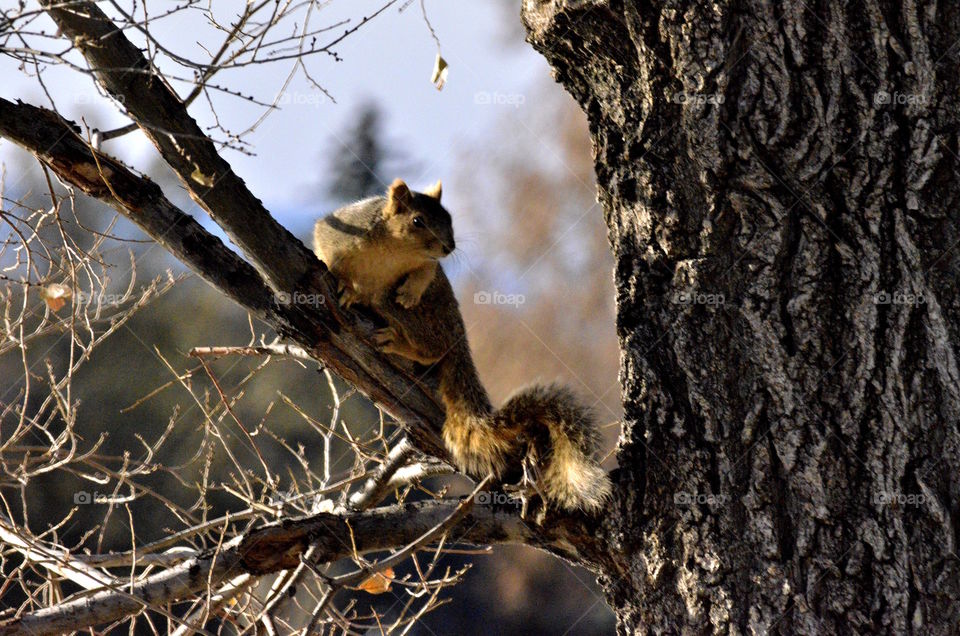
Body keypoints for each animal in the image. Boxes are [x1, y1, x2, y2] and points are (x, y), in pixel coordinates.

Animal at [312, 180, 612, 517]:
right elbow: (324, 245)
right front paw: (344, 285)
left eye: (449, 218)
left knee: (433, 347)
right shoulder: (344, 230)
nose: (449, 247)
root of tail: (459, 338)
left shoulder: (425, 266)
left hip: (415, 313)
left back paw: (398, 339)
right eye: (418, 221)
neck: (395, 250)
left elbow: (426, 273)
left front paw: (411, 290)